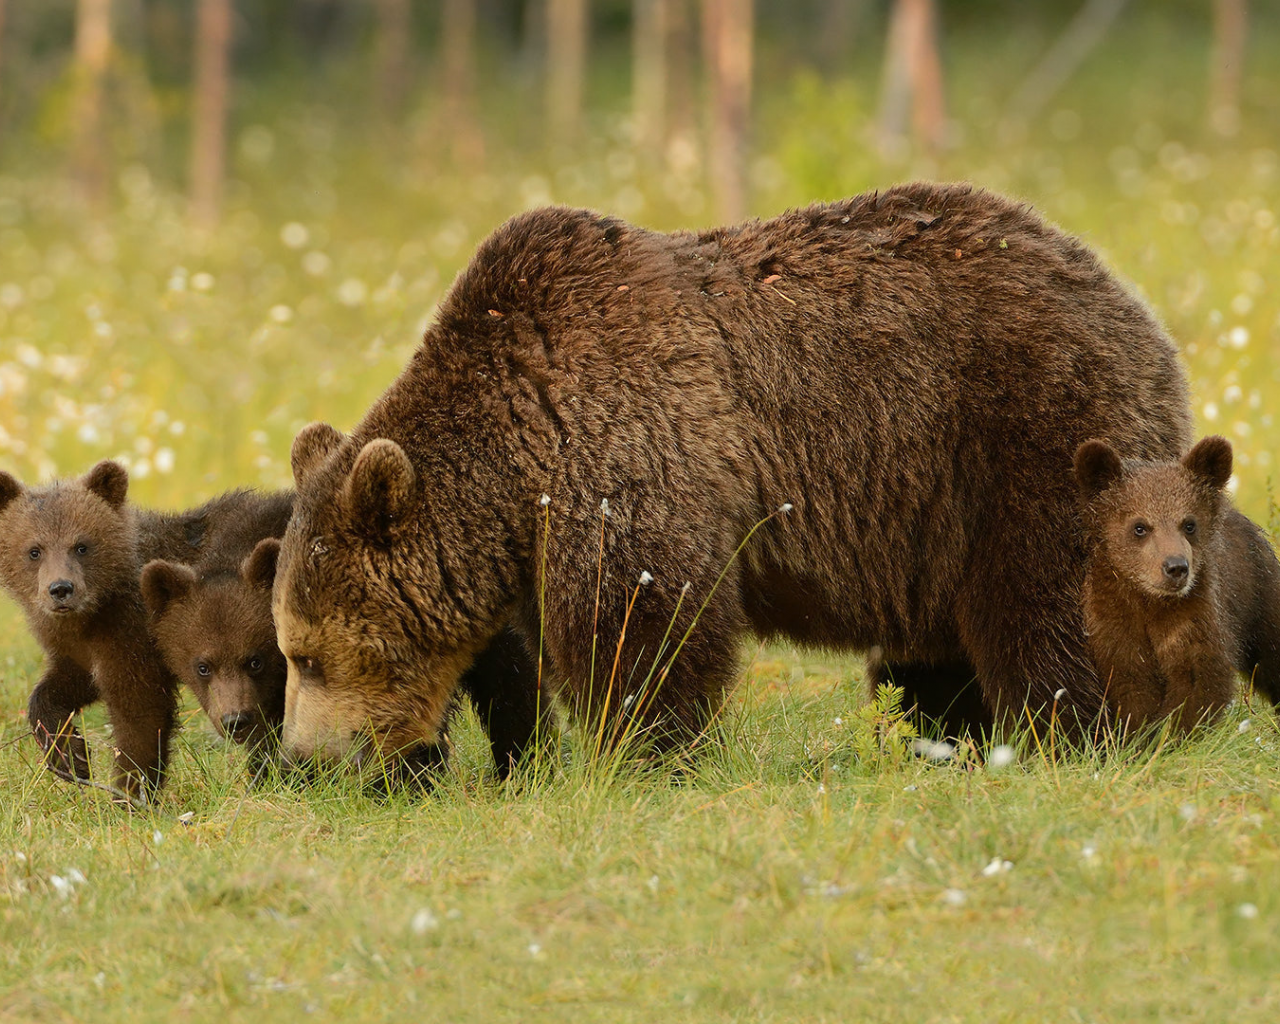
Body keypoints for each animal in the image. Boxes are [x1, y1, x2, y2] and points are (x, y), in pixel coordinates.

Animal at [270, 181, 1187, 768]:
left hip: (1026, 433)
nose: (305, 759)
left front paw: (640, 751)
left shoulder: (628, 445)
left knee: (1047, 600)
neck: (516, 454)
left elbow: (644, 622)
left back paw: (1071, 732)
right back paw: (945, 736)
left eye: (305, 656)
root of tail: (1134, 307)